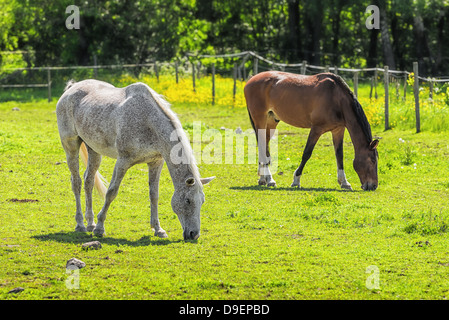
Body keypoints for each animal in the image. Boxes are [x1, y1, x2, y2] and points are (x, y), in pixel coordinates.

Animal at [56, 80, 215, 240]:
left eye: (202, 201)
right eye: (188, 200)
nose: (194, 234)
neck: (147, 121)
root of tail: (71, 88)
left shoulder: (155, 162)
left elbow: (154, 195)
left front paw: (158, 229)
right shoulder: (123, 162)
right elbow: (111, 192)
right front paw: (100, 228)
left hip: (94, 150)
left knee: (88, 181)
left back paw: (90, 223)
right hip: (71, 147)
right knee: (76, 182)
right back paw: (81, 224)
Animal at [245, 71, 378, 191]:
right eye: (372, 160)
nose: (373, 186)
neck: (336, 98)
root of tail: (251, 80)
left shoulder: (338, 130)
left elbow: (339, 155)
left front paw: (344, 182)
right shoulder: (316, 129)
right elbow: (307, 153)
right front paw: (296, 180)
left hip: (271, 121)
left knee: (264, 147)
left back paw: (264, 179)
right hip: (260, 120)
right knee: (262, 147)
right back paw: (270, 179)